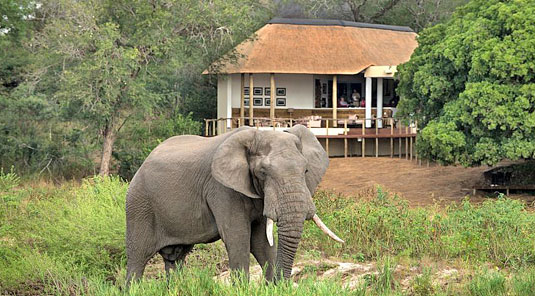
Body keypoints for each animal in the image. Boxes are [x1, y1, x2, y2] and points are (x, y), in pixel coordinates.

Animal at [125, 123, 344, 284]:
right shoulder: (221, 189)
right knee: (137, 259)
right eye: (263, 172)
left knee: (175, 258)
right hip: (139, 204)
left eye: (305, 170)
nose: (282, 282)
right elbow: (238, 236)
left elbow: (261, 242)